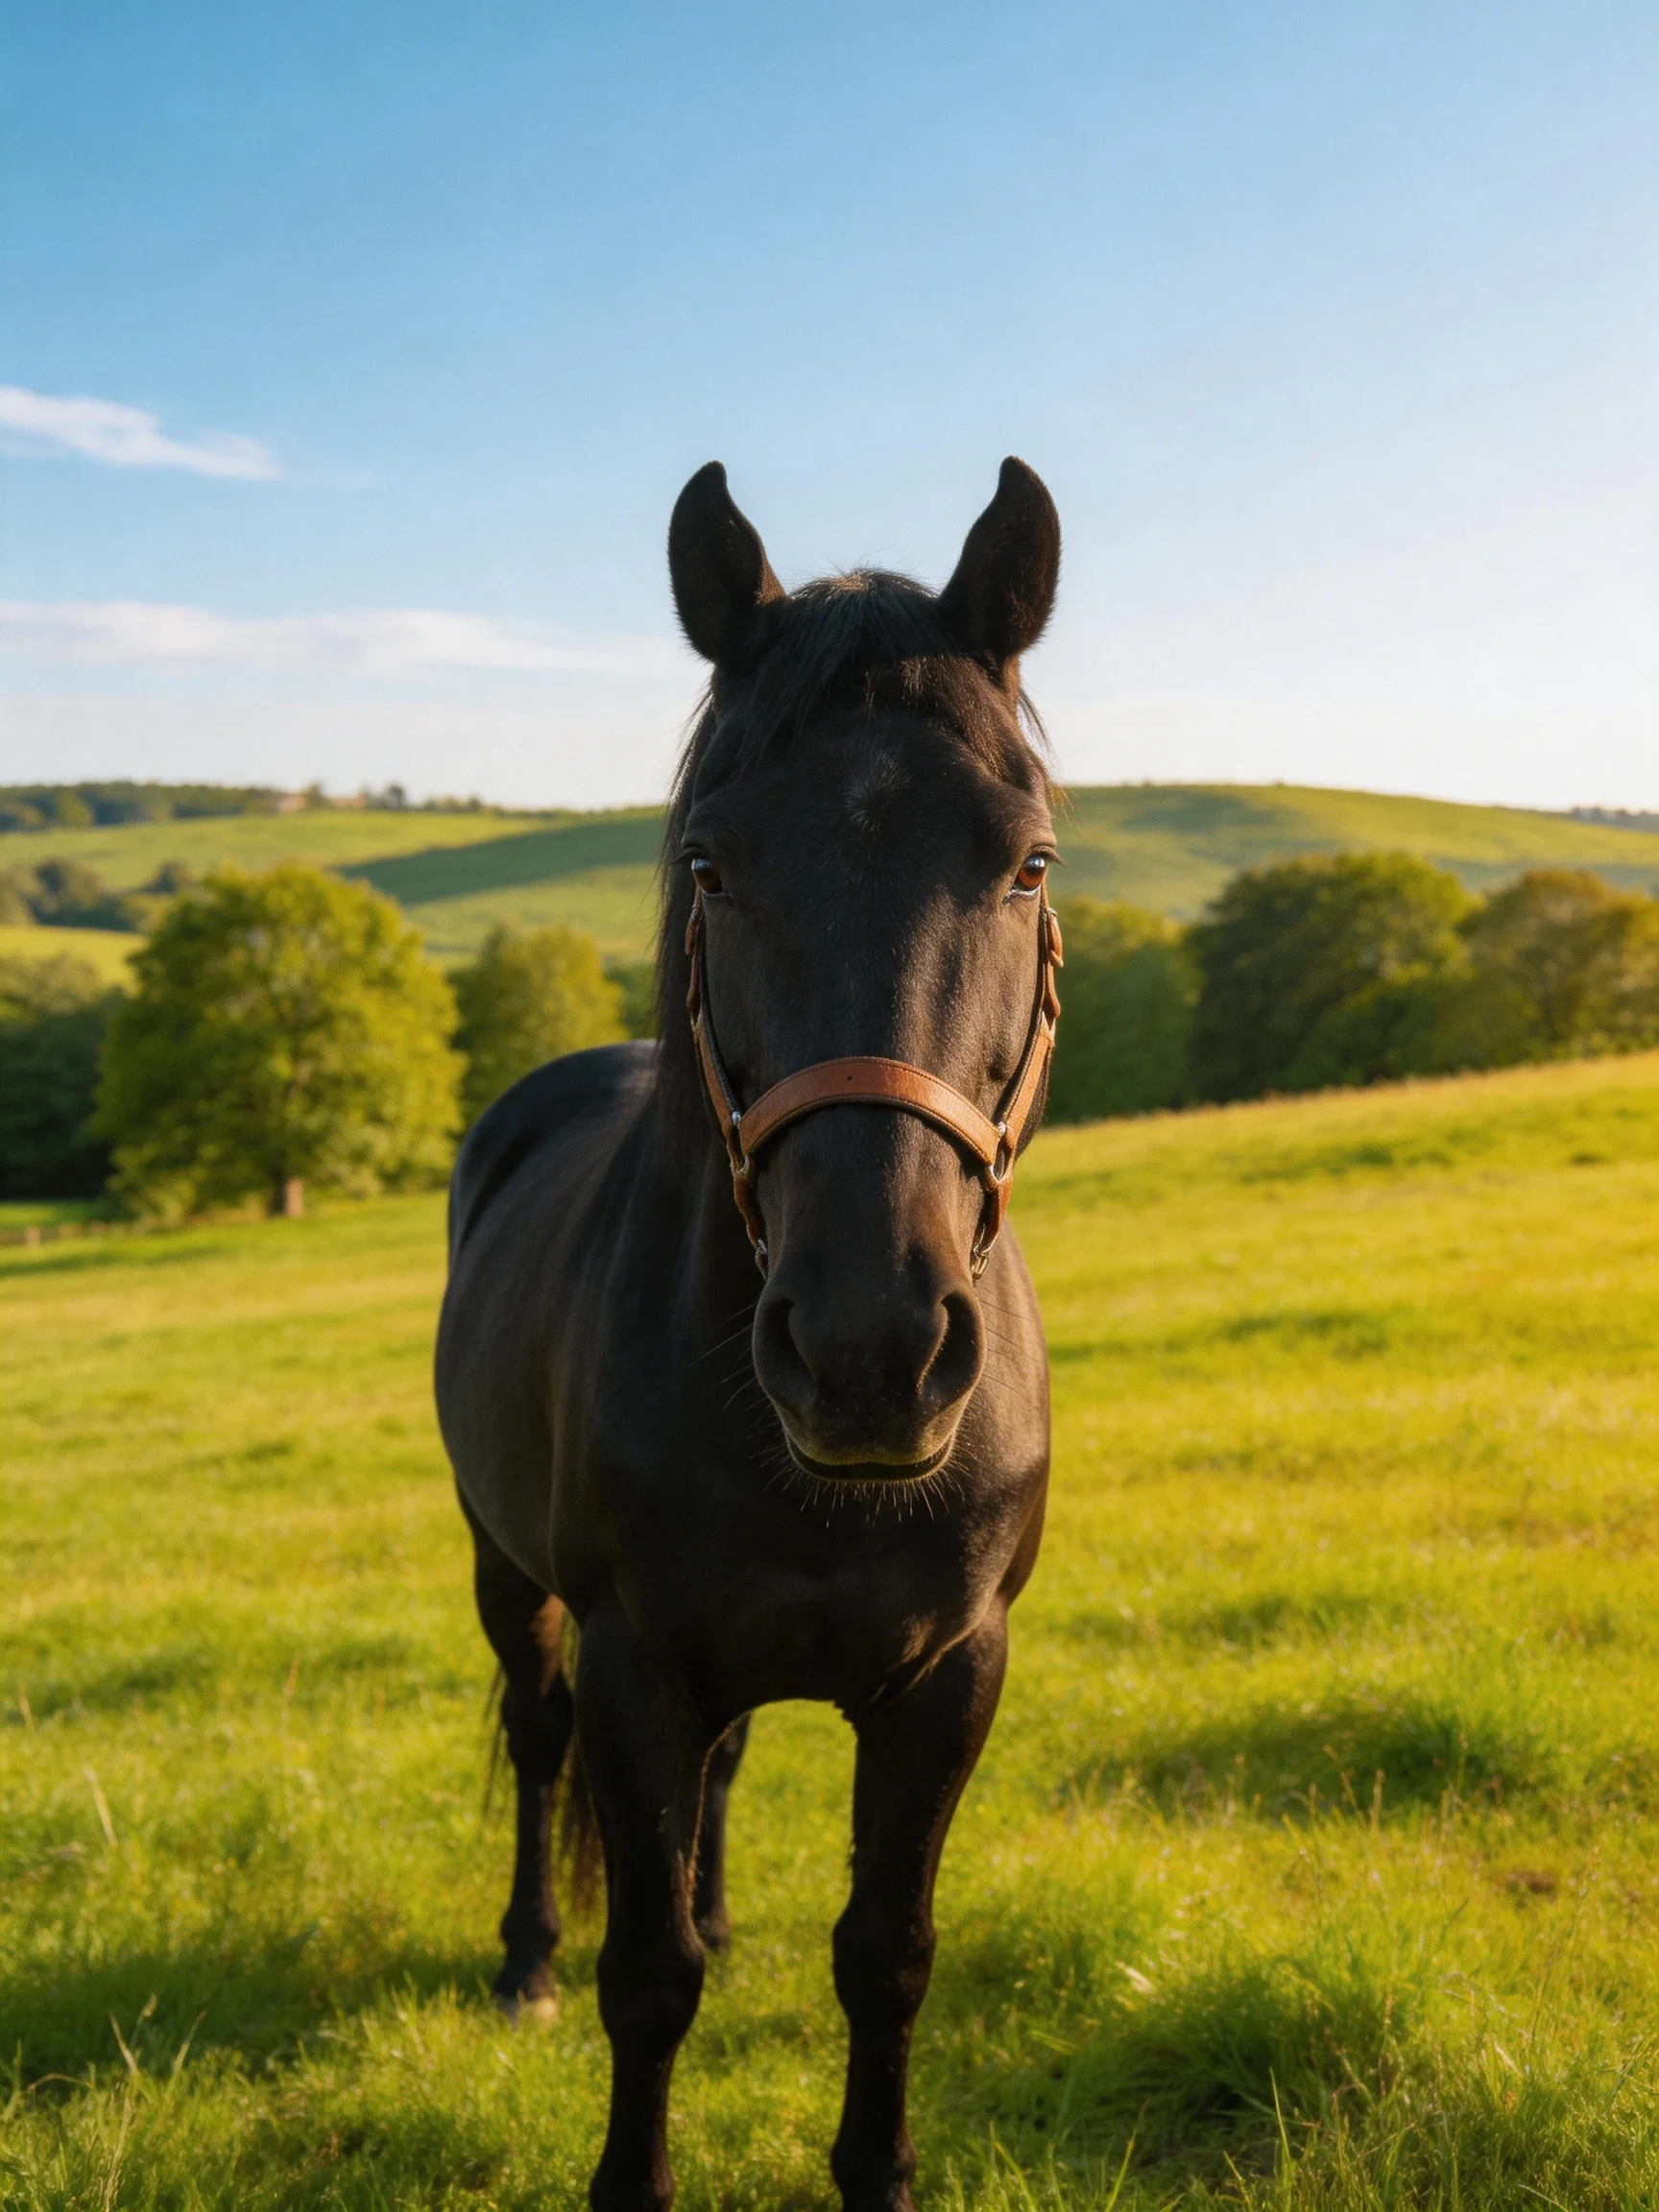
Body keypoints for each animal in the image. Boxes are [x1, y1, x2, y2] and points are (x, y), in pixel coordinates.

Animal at [436, 455, 1062, 2212]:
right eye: (712, 866)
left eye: (1028, 863)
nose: (867, 1351)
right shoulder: (636, 1659)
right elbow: (646, 1979)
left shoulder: (947, 1674)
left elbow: (888, 1954)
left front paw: (878, 2167)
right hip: (510, 1577)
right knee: (535, 1740)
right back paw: (521, 1960)